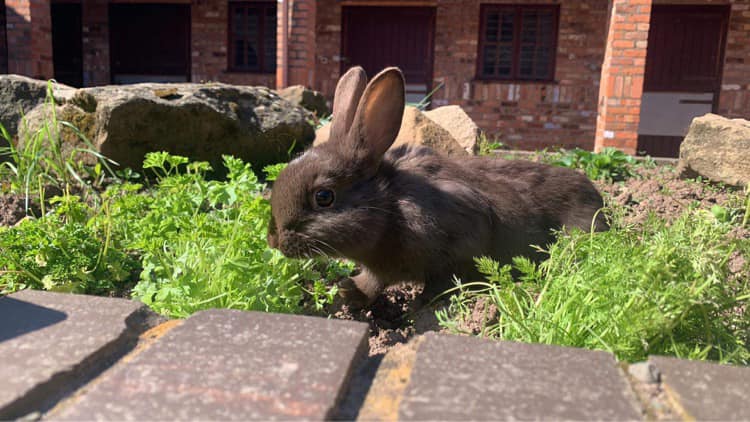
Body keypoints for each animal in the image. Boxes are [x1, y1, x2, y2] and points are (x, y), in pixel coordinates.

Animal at [267, 66, 608, 308]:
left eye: (324, 197)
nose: (274, 239)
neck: (389, 205)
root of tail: (597, 200)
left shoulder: (460, 235)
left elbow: (442, 278)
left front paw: (421, 305)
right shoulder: (381, 268)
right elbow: (372, 283)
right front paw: (347, 294)